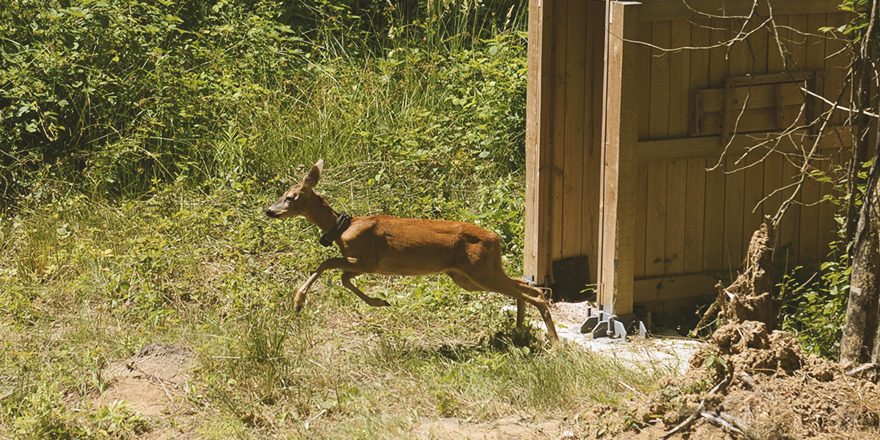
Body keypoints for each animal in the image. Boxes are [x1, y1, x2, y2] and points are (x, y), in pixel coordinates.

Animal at [264, 160, 560, 342]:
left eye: (289, 197)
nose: (269, 210)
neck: (343, 228)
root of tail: (496, 238)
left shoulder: (368, 259)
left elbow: (327, 264)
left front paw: (298, 301)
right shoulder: (364, 263)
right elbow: (343, 277)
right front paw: (379, 302)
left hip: (479, 271)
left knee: (532, 292)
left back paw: (555, 344)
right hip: (469, 275)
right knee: (524, 284)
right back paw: (520, 330)